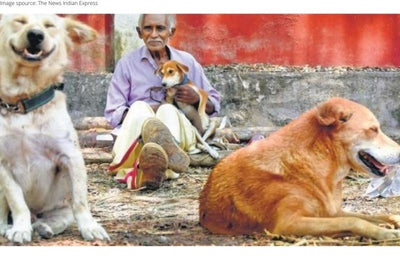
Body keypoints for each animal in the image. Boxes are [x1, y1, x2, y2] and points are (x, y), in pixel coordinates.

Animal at [0, 14, 109, 244]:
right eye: (20, 21)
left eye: (49, 25)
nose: (35, 35)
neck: (25, 104)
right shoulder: (3, 163)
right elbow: (17, 202)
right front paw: (20, 229)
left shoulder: (71, 157)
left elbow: (80, 202)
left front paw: (90, 228)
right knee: (5, 213)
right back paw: (10, 227)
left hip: (61, 210)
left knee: (57, 218)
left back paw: (43, 227)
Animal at [200, 97, 400, 240]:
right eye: (373, 129)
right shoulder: (288, 223)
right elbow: (355, 221)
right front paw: (384, 233)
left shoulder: (331, 212)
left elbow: (375, 216)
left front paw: (393, 221)